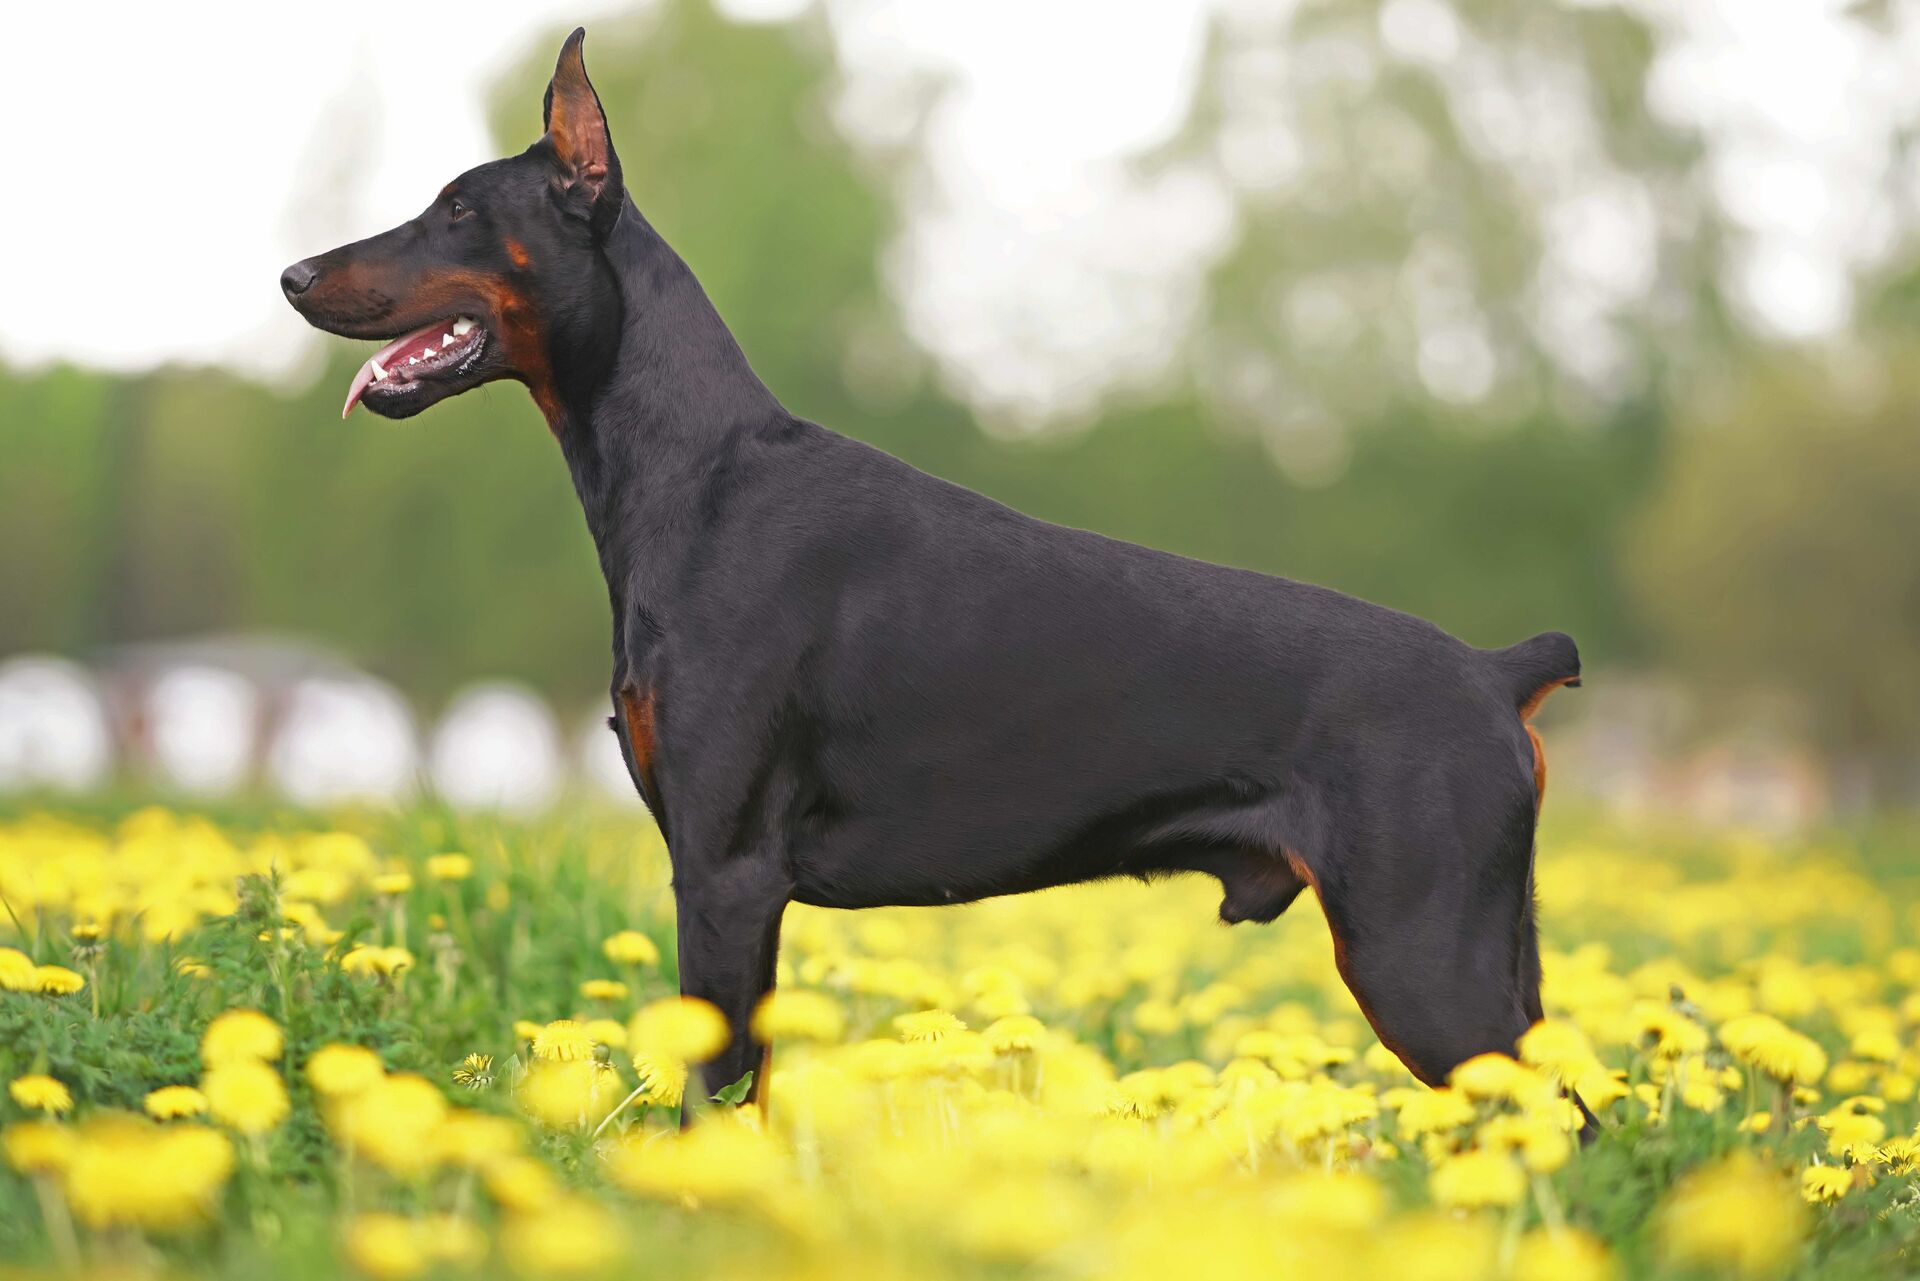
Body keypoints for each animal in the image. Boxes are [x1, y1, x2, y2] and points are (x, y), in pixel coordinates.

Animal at [278, 30, 1582, 1121]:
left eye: (457, 210)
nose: (292, 275)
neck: (691, 474)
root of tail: (1496, 671)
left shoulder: (727, 873)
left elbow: (715, 1093)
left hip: (1425, 953)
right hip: (1485, 954)